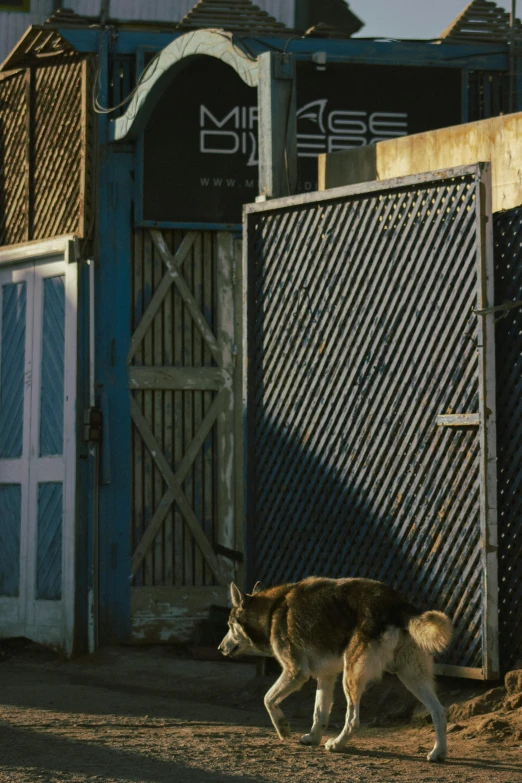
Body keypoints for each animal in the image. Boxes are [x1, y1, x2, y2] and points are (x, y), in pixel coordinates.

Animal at [217, 572, 448, 764]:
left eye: (229, 625)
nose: (219, 648)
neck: (273, 611)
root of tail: (397, 603)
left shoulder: (296, 672)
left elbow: (267, 699)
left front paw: (282, 728)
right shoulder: (325, 677)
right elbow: (319, 714)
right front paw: (312, 738)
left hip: (351, 677)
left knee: (353, 720)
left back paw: (336, 744)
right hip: (410, 677)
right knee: (438, 711)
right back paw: (438, 753)